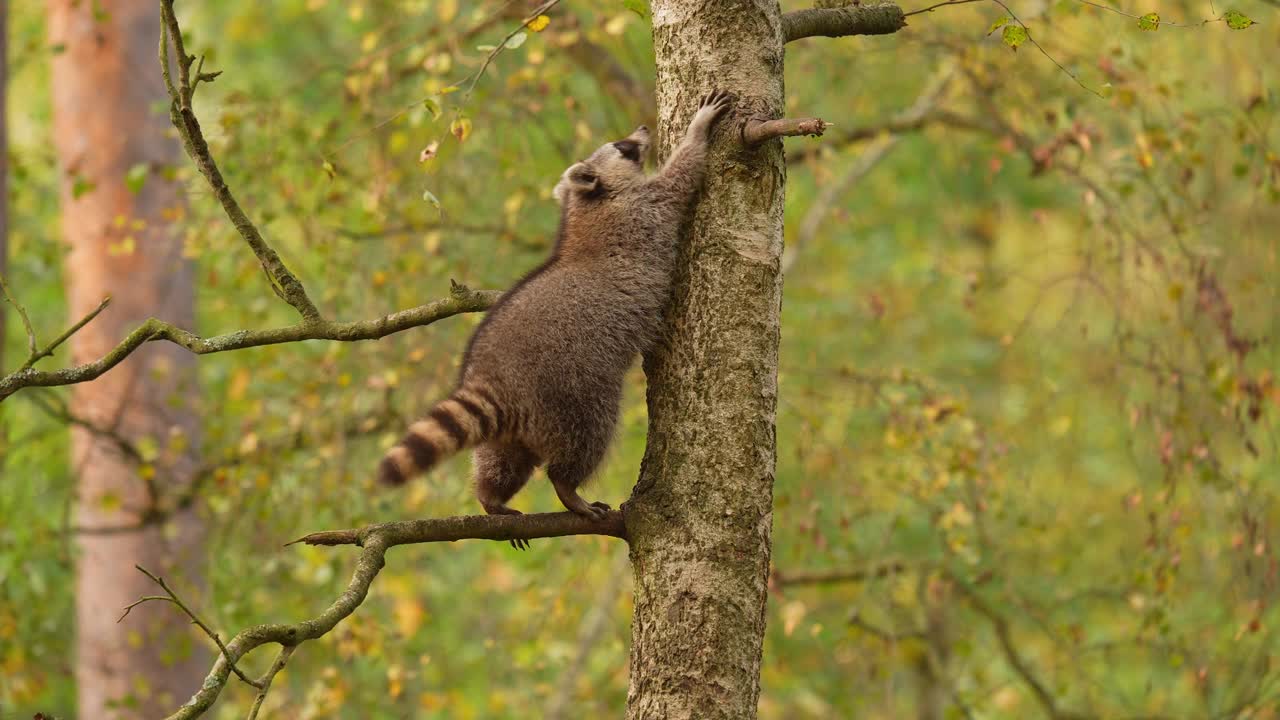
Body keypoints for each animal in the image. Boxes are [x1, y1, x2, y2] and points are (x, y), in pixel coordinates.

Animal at [378, 88, 737, 527]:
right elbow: (681, 174)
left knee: (502, 461)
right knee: (588, 437)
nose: (643, 128)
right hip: (572, 389)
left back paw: (490, 495)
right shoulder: (646, 206)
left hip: (515, 429)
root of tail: (495, 376)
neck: (583, 202)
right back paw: (567, 486)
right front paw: (698, 130)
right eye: (624, 147)